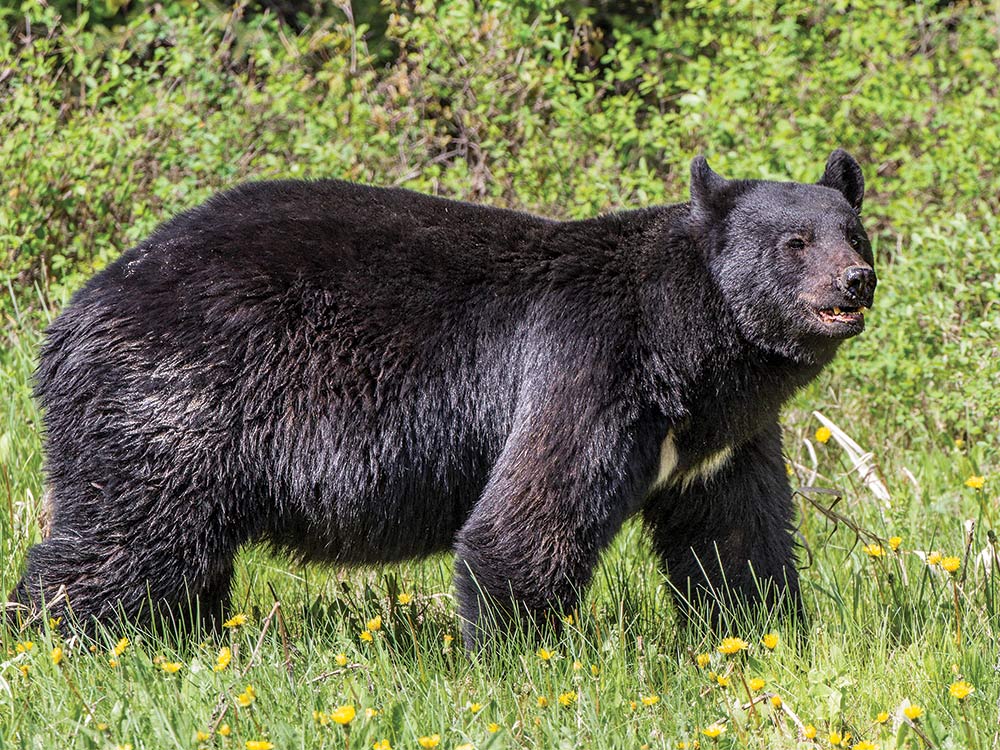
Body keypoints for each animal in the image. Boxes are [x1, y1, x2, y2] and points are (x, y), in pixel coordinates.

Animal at [13, 151, 876, 648]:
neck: (691, 348)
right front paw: (523, 659)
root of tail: (71, 318)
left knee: (181, 558)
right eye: (795, 242)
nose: (854, 282)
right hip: (175, 399)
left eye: (855, 233)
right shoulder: (589, 370)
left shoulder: (720, 435)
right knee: (126, 539)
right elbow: (530, 517)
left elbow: (736, 533)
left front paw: (767, 632)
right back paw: (59, 643)